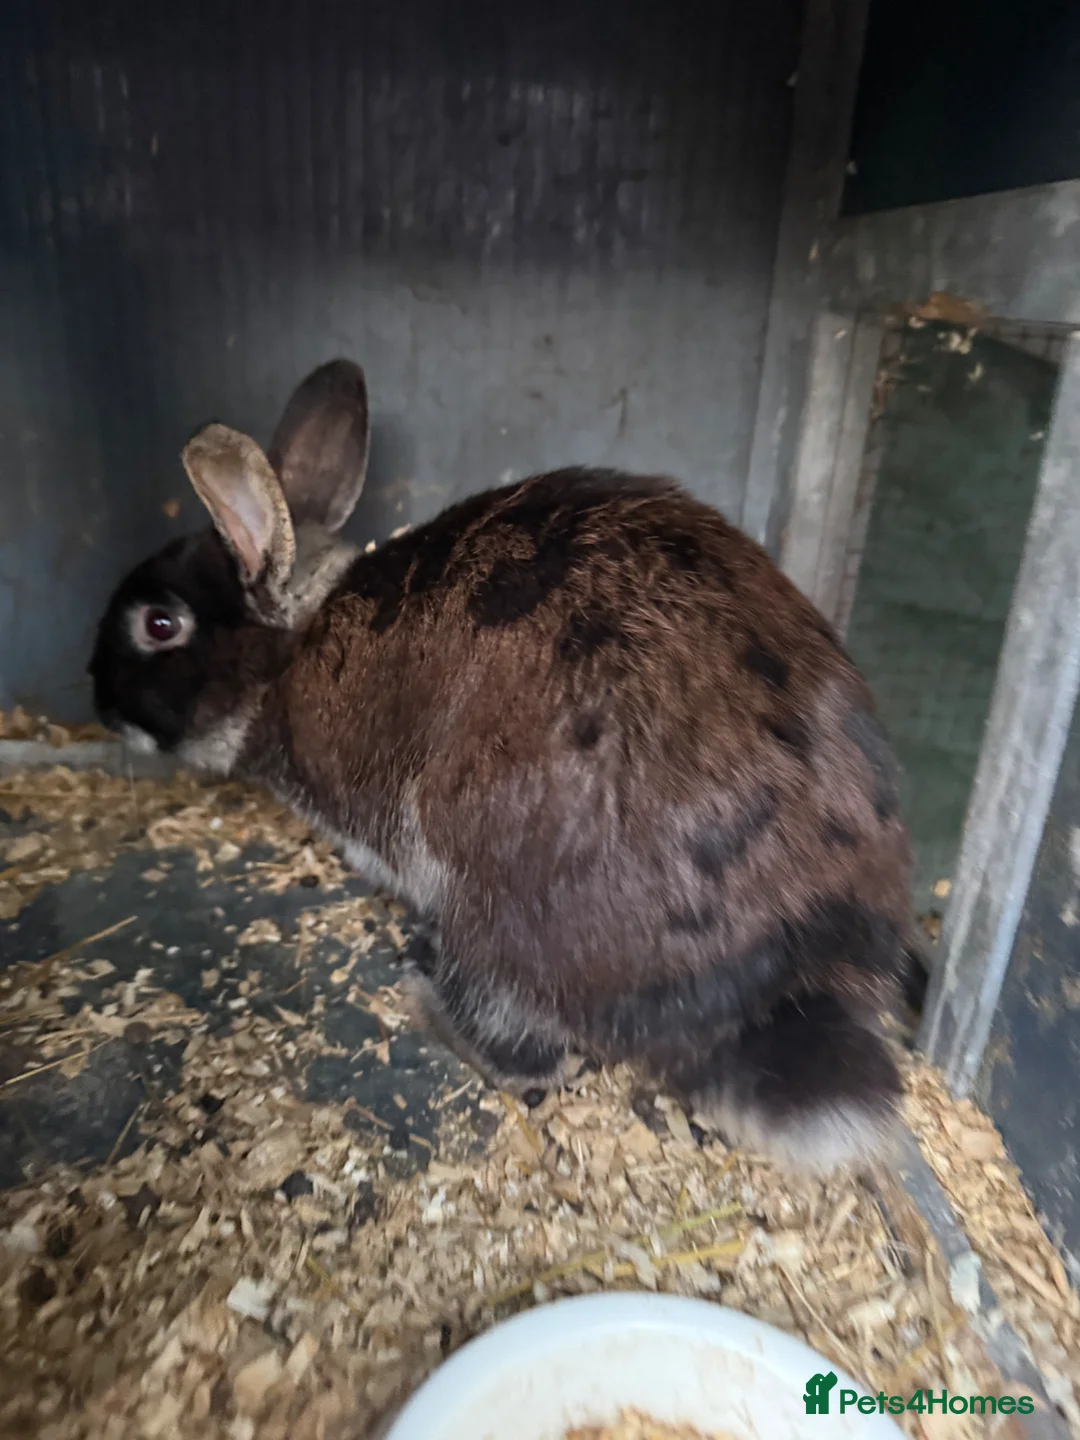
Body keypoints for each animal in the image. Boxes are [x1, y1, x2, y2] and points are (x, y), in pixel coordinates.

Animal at [89, 357, 916, 1173]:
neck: (296, 644)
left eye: (159, 625)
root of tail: (769, 990)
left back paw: (427, 996)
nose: (96, 696)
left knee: (530, 1051)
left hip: (491, 903)